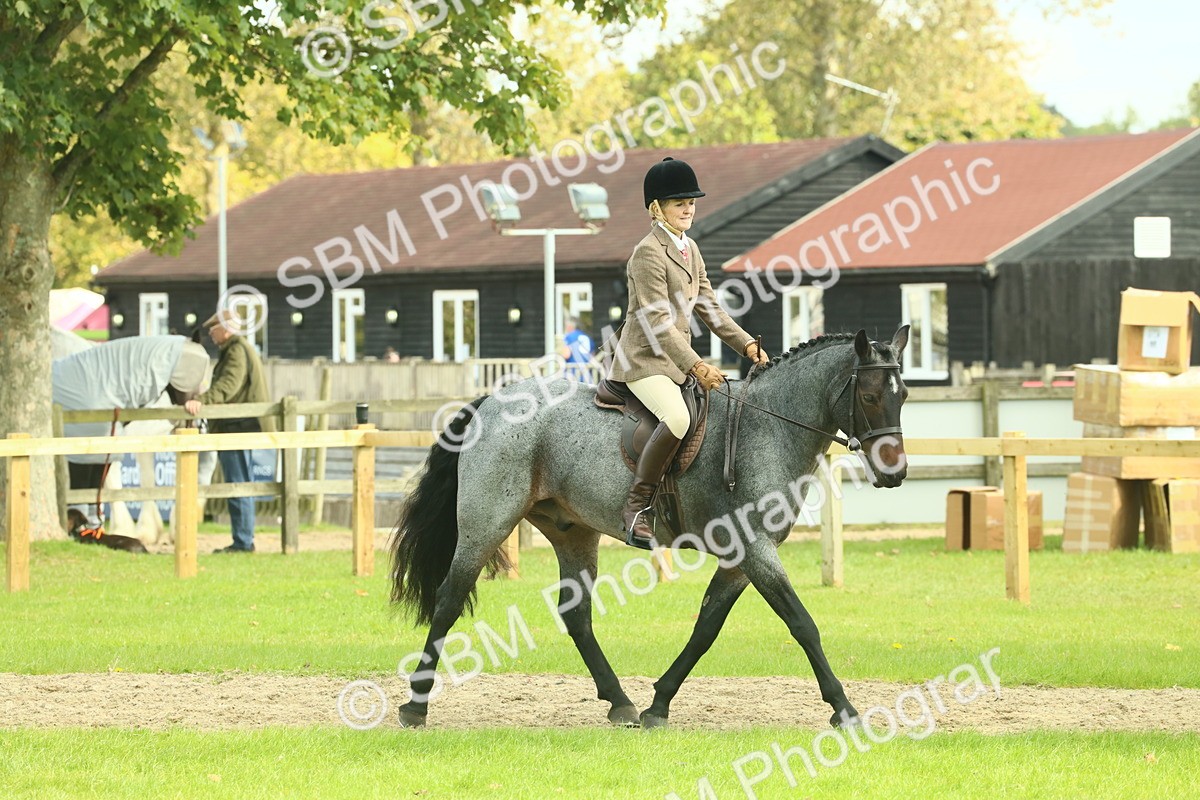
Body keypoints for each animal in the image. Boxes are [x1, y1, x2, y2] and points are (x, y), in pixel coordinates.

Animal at [390, 326, 910, 729]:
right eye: (869, 396)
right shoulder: (756, 549)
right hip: (486, 524)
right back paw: (415, 707)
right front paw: (843, 708)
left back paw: (620, 703)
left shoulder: (740, 559)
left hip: (573, 533)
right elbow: (802, 624)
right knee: (449, 600)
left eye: (903, 395)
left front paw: (658, 704)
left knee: (576, 615)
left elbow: (706, 628)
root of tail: (492, 403)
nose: (895, 473)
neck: (767, 428)